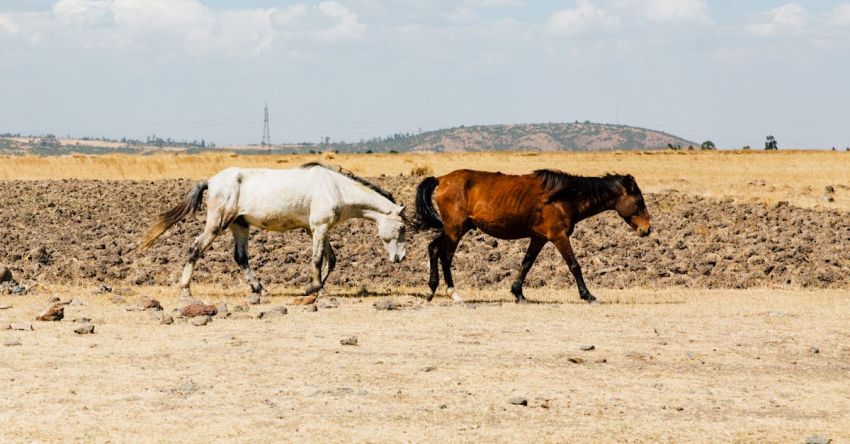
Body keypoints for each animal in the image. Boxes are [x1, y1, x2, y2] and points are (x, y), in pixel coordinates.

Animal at [141, 161, 406, 300]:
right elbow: (318, 258)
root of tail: (212, 181)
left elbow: (331, 259)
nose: (400, 258)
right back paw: (186, 290)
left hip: (239, 225)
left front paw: (312, 286)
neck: (334, 187)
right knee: (195, 248)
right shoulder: (319, 228)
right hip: (217, 224)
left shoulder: (317, 229)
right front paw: (316, 288)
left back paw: (259, 289)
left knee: (241, 258)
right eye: (403, 227)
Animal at [414, 168, 652, 304]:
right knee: (445, 256)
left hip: (453, 229)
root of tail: (441, 179)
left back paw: (431, 290)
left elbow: (526, 263)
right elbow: (574, 265)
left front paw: (518, 293)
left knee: (433, 248)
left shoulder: (539, 238)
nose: (647, 230)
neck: (563, 198)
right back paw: (453, 293)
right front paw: (588, 295)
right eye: (639, 201)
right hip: (455, 230)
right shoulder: (559, 236)